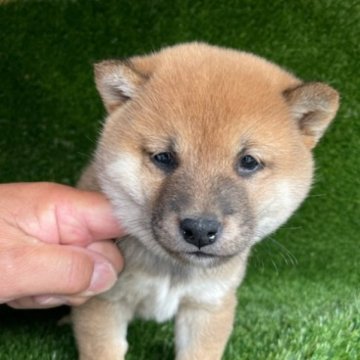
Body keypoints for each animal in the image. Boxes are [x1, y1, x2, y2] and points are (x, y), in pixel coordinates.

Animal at [72, 43, 338, 360]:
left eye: (248, 162)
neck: (172, 270)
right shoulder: (103, 302)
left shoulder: (209, 305)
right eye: (163, 157)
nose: (199, 230)